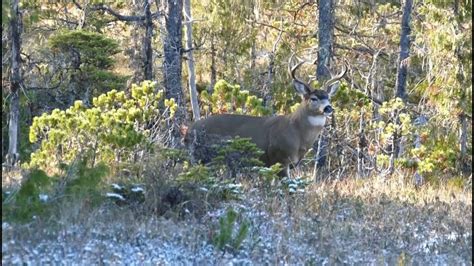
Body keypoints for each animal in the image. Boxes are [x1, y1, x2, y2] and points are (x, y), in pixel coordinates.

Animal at [186, 54, 348, 178]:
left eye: (329, 98)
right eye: (313, 98)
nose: (328, 108)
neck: (298, 134)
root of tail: (189, 130)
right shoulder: (279, 158)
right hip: (203, 155)